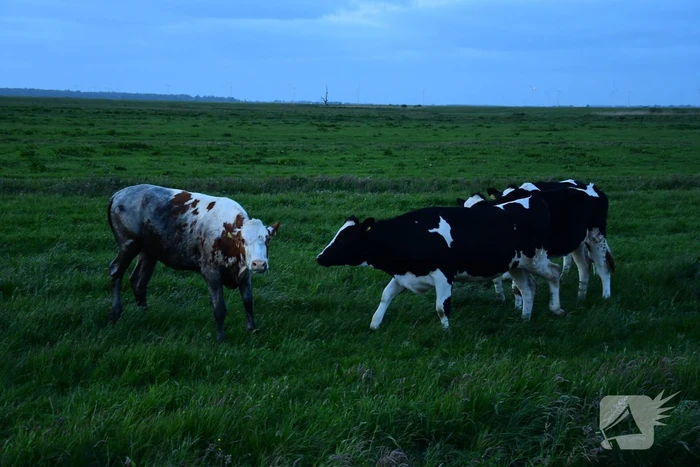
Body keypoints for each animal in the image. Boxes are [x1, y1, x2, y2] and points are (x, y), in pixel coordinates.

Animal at [107, 184, 280, 342]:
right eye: (243, 240)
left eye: (268, 239)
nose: (259, 264)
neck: (225, 234)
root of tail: (118, 194)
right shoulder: (211, 272)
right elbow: (219, 308)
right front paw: (220, 337)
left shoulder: (244, 272)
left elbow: (248, 301)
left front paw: (252, 329)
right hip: (128, 245)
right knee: (116, 271)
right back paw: (115, 313)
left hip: (149, 252)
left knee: (139, 281)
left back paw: (144, 313)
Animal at [316, 194, 564, 329]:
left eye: (345, 239)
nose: (320, 257)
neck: (411, 234)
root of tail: (532, 198)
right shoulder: (404, 274)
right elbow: (385, 296)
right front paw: (375, 324)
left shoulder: (443, 275)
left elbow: (441, 308)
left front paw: (446, 333)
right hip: (517, 265)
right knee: (527, 288)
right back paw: (525, 318)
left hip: (536, 258)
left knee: (554, 272)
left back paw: (556, 308)